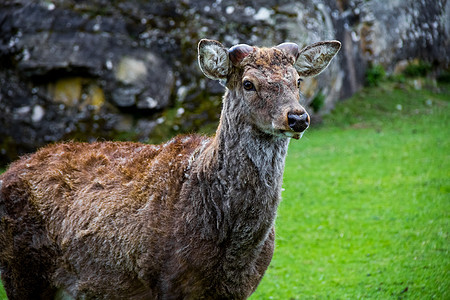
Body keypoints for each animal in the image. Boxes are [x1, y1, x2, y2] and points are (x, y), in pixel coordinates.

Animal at [0, 38, 338, 298]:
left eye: (297, 80)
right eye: (248, 83)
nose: (297, 117)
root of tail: (7, 171)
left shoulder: (242, 288)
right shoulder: (168, 281)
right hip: (21, 271)